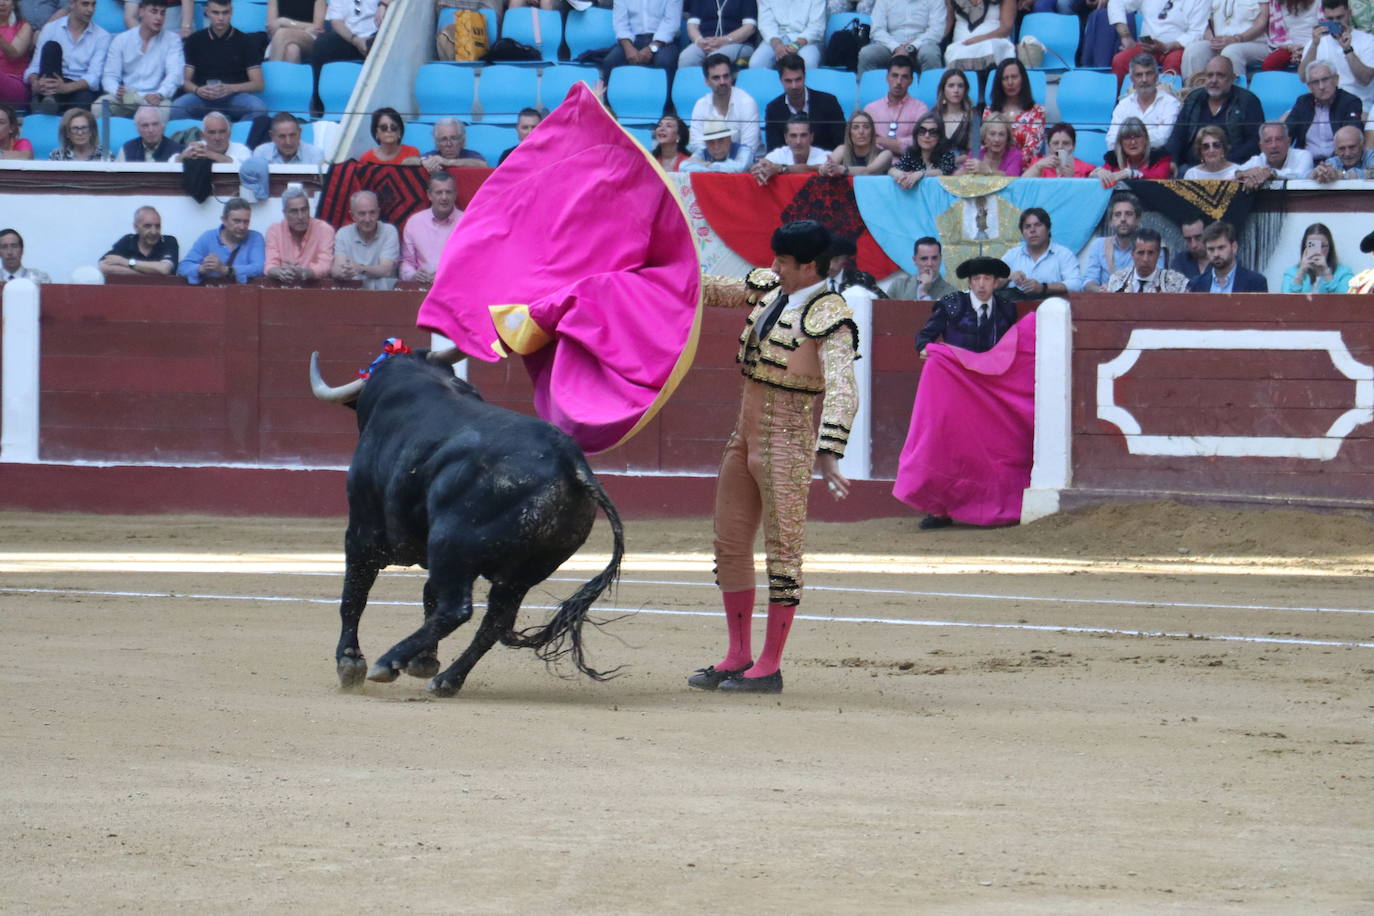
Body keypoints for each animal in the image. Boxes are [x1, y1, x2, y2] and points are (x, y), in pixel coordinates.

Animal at [309, 343, 626, 694]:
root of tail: (571, 462)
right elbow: (427, 595)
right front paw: (424, 661)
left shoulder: (363, 532)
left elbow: (354, 595)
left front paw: (350, 662)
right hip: (523, 571)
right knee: (493, 621)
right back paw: (446, 679)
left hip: (450, 543)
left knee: (456, 609)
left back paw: (389, 662)